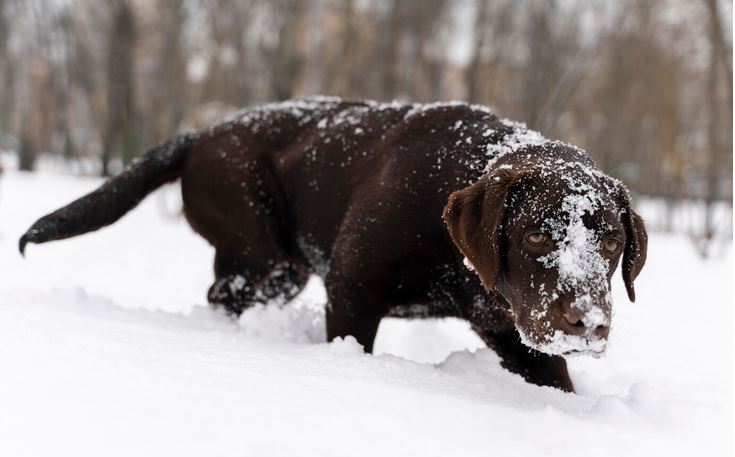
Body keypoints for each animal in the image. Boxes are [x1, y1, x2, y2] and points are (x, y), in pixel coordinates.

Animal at [20, 98, 648, 390]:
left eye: (611, 241)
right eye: (537, 233)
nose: (588, 322)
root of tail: (201, 135)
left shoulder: (512, 332)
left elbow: (557, 379)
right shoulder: (352, 292)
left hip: (282, 267)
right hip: (263, 249)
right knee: (222, 292)